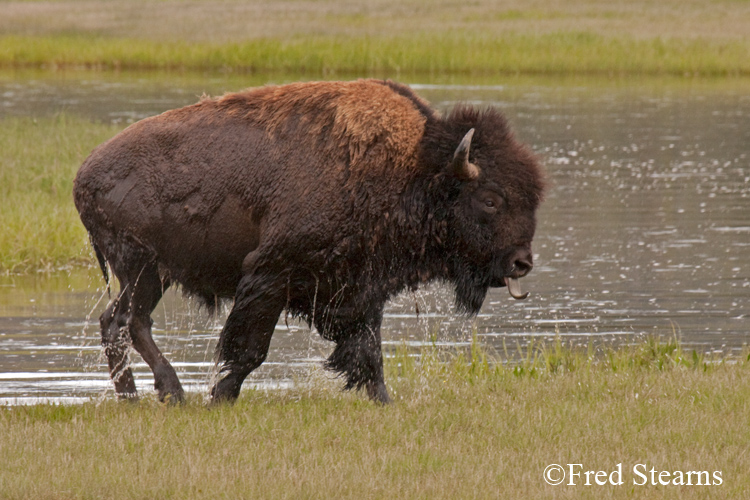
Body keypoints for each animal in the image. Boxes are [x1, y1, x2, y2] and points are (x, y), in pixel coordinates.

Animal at [73, 79, 548, 406]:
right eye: (490, 199)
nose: (522, 262)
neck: (413, 169)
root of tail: (84, 174)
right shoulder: (270, 278)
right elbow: (249, 349)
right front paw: (220, 397)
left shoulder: (359, 289)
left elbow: (367, 353)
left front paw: (385, 402)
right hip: (141, 267)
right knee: (130, 321)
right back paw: (170, 392)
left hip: (152, 274)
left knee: (114, 322)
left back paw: (137, 397)